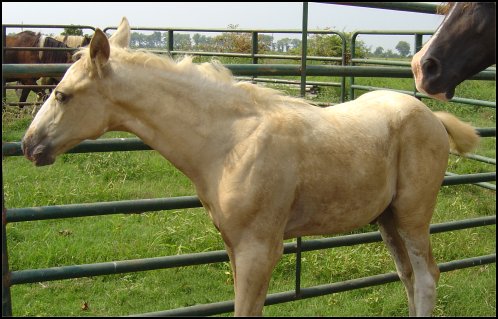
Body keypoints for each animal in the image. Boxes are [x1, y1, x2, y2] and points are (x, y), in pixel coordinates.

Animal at [22, 18, 478, 316]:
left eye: (62, 95)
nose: (29, 145)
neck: (230, 143)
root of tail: (432, 118)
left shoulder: (259, 248)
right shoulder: (234, 245)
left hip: (413, 216)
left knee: (427, 277)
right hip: (388, 219)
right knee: (408, 278)